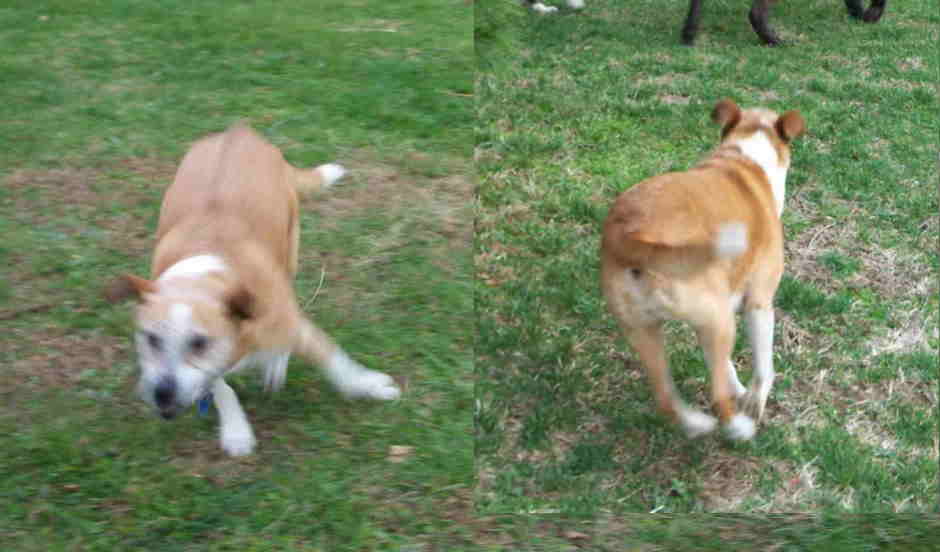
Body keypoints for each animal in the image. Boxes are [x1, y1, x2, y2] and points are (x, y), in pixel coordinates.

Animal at [106, 125, 400, 458]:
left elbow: (336, 361)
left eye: (199, 343)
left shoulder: (285, 320)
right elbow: (220, 386)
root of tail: (239, 130)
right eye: (152, 339)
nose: (162, 394)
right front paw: (236, 429)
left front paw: (369, 385)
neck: (205, 274)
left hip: (290, 250)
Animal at [604, 99, 808, 440]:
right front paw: (754, 402)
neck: (746, 157)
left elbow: (725, 367)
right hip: (720, 321)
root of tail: (629, 237)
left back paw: (697, 423)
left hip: (644, 329)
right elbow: (764, 369)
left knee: (666, 399)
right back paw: (738, 428)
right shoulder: (758, 303)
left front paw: (738, 388)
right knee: (716, 399)